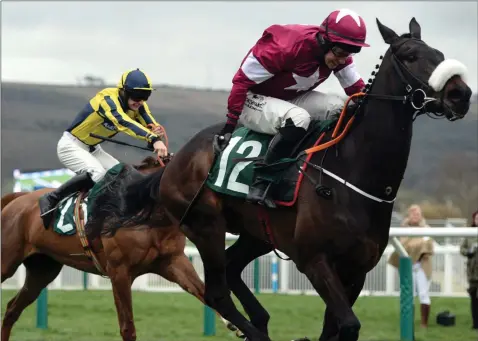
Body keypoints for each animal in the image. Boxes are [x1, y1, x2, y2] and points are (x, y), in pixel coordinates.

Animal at [0, 155, 232, 340]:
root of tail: (17, 198)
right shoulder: (119, 271)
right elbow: (127, 328)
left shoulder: (172, 261)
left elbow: (203, 291)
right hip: (7, 262)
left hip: (43, 270)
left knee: (12, 309)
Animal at [102, 17, 472, 340]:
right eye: (410, 56)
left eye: (440, 55)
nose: (461, 94)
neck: (351, 174)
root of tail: (175, 161)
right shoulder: (314, 260)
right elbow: (348, 325)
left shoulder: (357, 270)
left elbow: (336, 328)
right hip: (206, 226)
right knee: (217, 293)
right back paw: (253, 330)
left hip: (258, 234)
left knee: (233, 269)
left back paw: (261, 320)